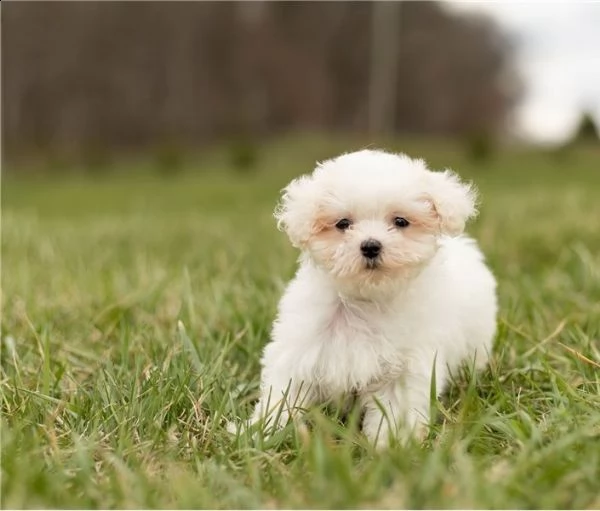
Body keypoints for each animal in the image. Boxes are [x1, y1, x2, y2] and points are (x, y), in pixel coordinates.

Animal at [237, 149, 494, 448]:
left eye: (400, 222)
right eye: (343, 224)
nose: (371, 246)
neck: (365, 301)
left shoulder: (405, 368)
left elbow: (394, 408)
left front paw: (392, 445)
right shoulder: (299, 351)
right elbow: (282, 395)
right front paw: (260, 432)